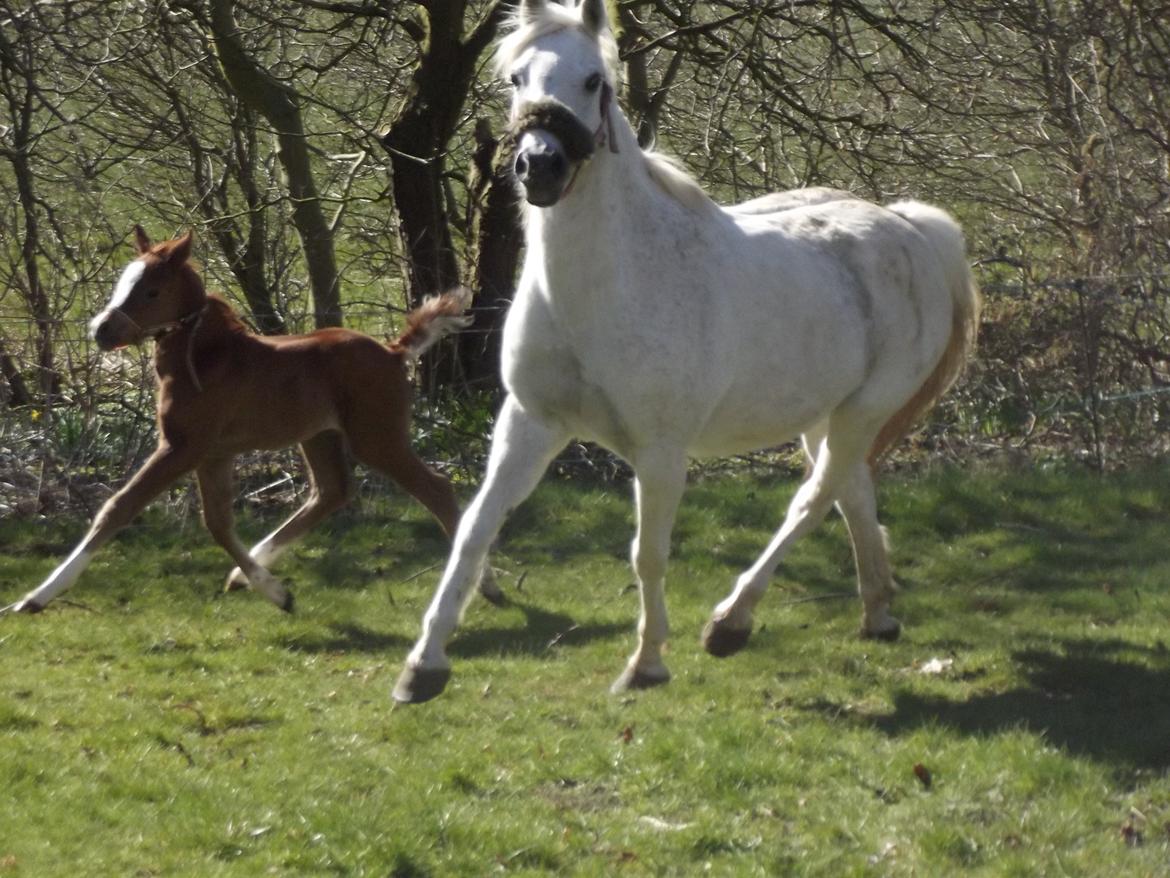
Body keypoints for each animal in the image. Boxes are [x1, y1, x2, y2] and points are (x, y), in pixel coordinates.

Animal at [3, 227, 496, 615]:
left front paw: (34, 598)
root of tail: (395, 353)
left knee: (436, 488)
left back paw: (482, 584)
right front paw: (276, 593)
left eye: (151, 291)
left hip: (377, 438)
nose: (101, 331)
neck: (203, 358)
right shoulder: (212, 453)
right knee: (330, 493)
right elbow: (218, 522)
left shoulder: (182, 447)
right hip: (320, 437)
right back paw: (244, 577)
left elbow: (117, 508)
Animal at [392, 0, 980, 703]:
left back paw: (731, 622)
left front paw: (646, 664)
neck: (607, 287)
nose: (540, 166)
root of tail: (912, 229)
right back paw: (878, 613)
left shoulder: (659, 451)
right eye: (516, 79)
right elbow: (476, 528)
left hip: (863, 411)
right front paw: (423, 664)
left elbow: (648, 552)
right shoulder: (530, 424)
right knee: (851, 491)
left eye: (594, 80)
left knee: (814, 498)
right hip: (824, 416)